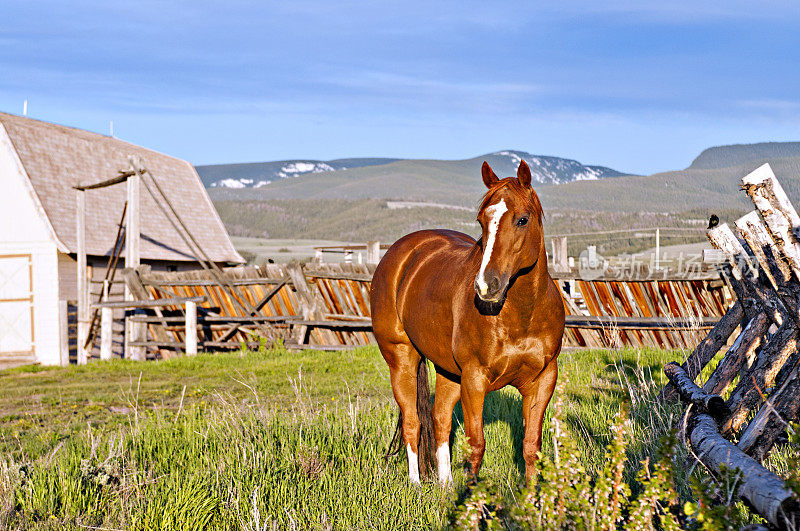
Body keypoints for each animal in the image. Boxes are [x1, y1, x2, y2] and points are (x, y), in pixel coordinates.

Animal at [372, 160, 564, 484]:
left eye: (522, 220)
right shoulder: (474, 380)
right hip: (401, 359)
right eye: (481, 220)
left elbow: (530, 446)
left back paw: (445, 485)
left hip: (448, 370)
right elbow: (476, 447)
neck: (522, 315)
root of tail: (402, 253)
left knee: (439, 419)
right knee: (413, 422)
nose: (487, 285)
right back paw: (415, 484)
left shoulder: (543, 380)